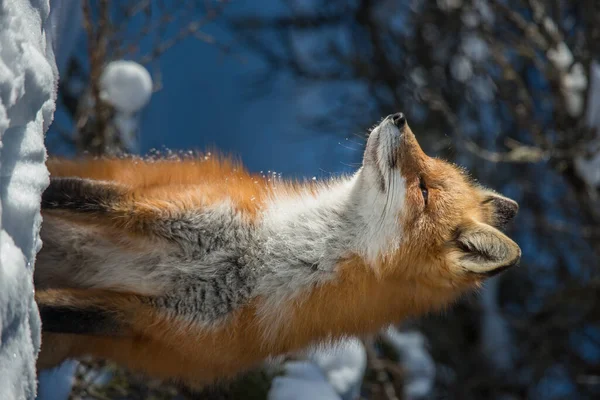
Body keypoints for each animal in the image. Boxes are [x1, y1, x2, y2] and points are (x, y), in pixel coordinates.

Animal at [35, 112, 516, 388]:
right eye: (430, 167)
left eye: (424, 189)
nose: (398, 116)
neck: (261, 257)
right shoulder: (152, 208)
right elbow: (70, 194)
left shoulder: (151, 321)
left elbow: (52, 313)